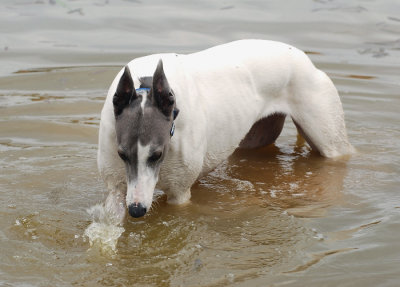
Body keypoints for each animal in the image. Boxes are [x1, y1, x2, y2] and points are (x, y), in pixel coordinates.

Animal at [97, 40, 354, 225]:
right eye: (121, 154)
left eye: (157, 154)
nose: (137, 210)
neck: (146, 83)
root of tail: (303, 57)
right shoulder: (116, 187)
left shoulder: (180, 194)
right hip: (256, 136)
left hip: (329, 139)